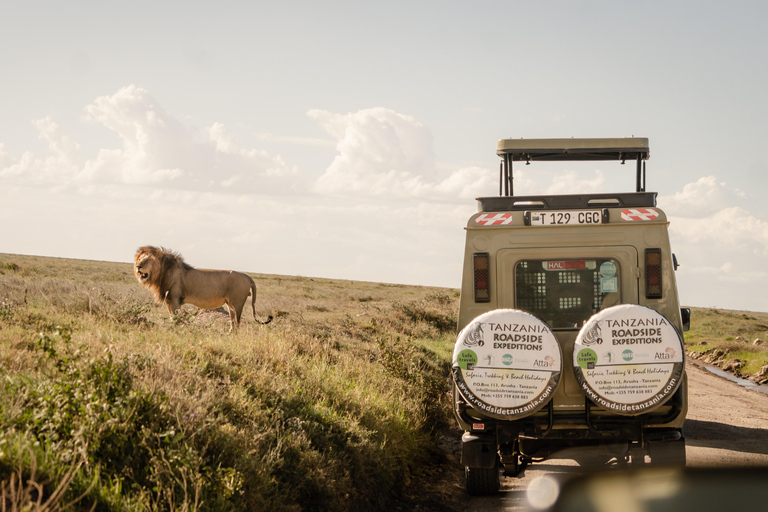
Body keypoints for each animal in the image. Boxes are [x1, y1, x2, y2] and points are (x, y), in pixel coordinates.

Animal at [134, 245, 272, 332]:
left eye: (146, 260)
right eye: (139, 259)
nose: (138, 267)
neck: (162, 272)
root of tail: (248, 277)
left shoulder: (174, 299)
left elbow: (176, 317)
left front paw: (176, 329)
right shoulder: (169, 300)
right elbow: (172, 316)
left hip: (237, 303)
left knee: (237, 321)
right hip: (230, 304)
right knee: (233, 320)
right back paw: (229, 333)